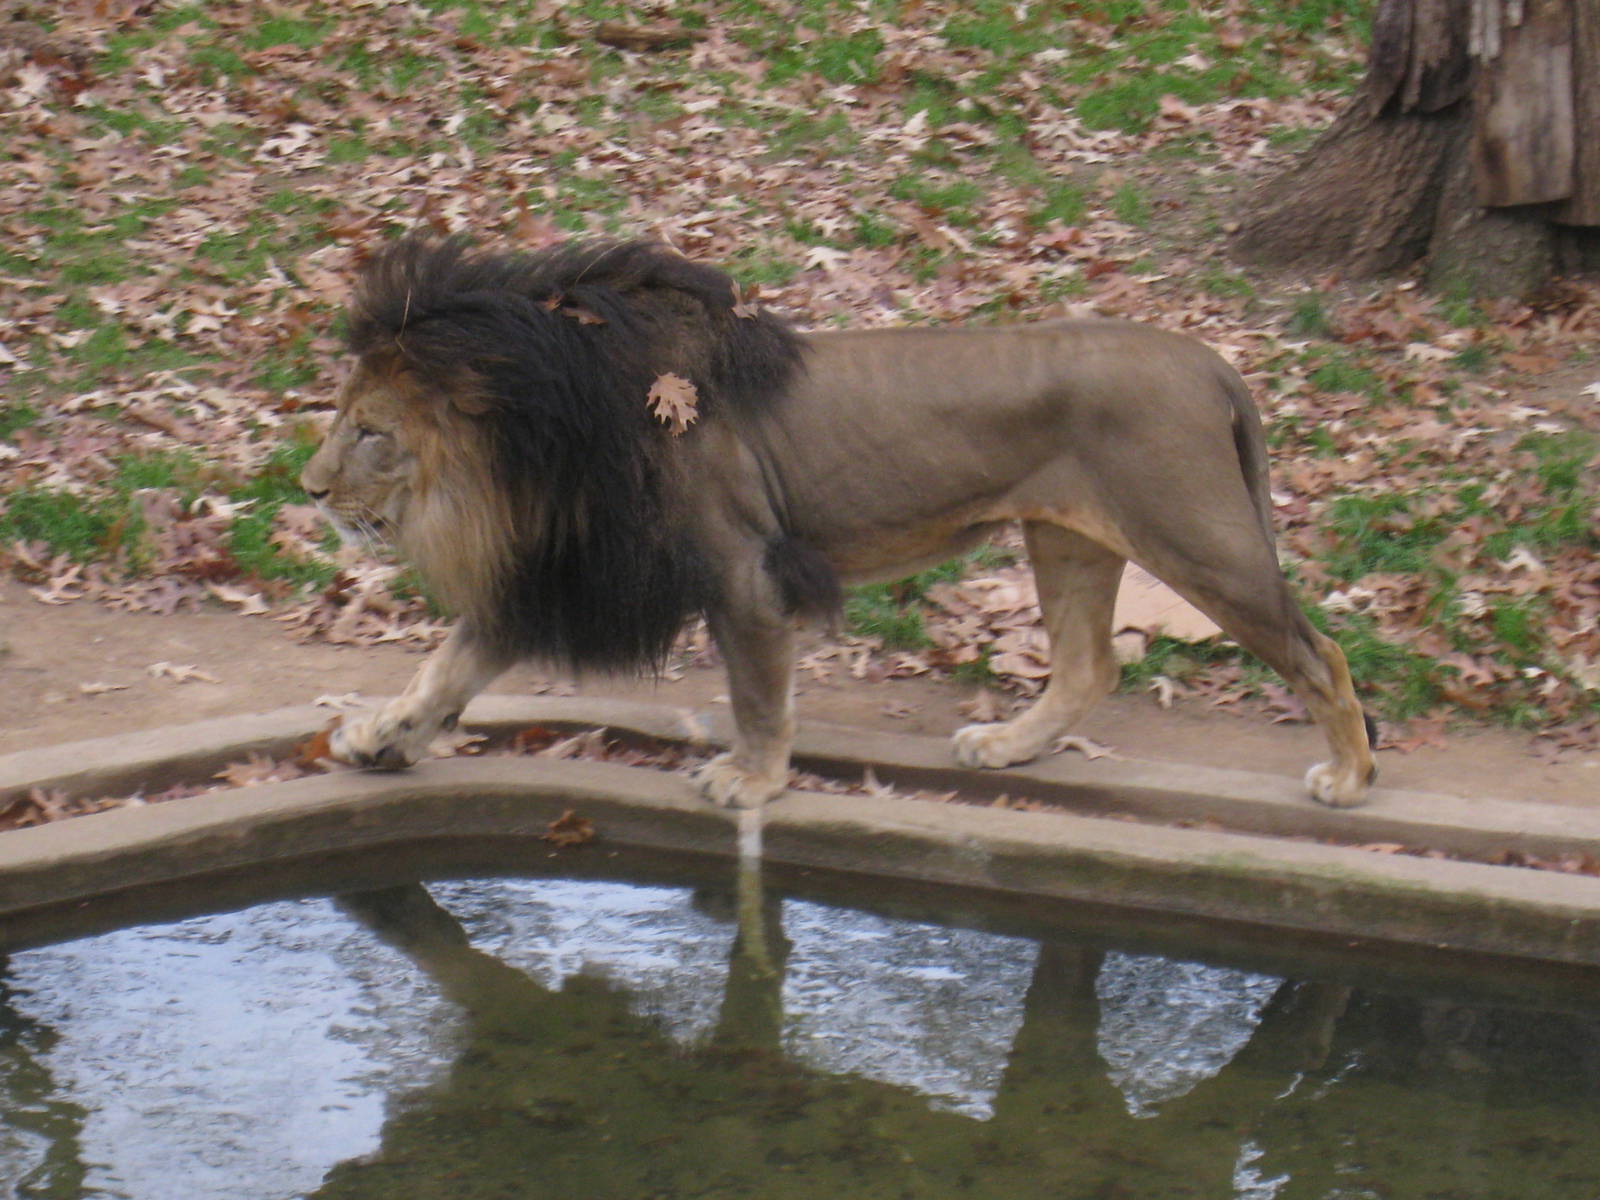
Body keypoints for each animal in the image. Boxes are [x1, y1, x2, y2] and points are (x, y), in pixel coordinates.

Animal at [301, 235, 1376, 810]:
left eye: (369, 432)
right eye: (343, 416)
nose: (307, 489)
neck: (538, 453)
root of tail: (1211, 362)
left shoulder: (745, 572)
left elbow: (756, 694)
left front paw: (751, 782)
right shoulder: (558, 572)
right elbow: (447, 666)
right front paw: (380, 739)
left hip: (1198, 540)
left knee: (1320, 652)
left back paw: (1349, 774)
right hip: (1067, 539)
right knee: (1088, 667)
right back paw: (1006, 747)